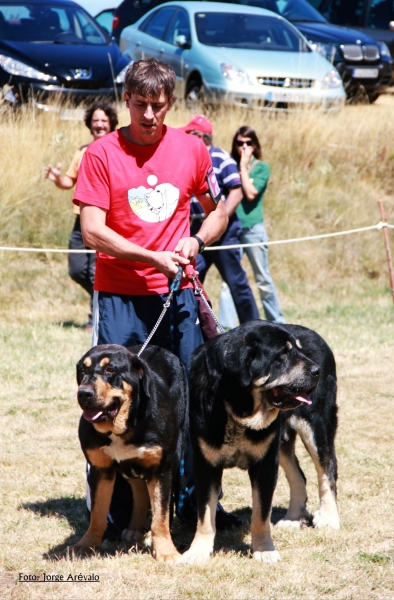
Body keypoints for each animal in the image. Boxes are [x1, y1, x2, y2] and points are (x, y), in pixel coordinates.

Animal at [69, 344, 188, 564]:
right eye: (83, 370)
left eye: (110, 370)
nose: (84, 393)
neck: (123, 427)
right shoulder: (101, 469)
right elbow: (97, 514)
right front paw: (86, 545)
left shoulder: (161, 468)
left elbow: (160, 515)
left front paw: (166, 551)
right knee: (139, 489)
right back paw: (134, 529)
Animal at [182, 322, 338, 564]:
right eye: (283, 354)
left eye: (298, 350)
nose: (316, 370)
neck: (236, 407)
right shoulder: (206, 466)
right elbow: (205, 516)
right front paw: (198, 551)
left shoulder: (265, 465)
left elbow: (260, 515)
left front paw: (264, 550)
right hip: (281, 442)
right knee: (299, 476)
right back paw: (293, 518)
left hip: (316, 427)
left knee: (327, 470)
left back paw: (329, 517)